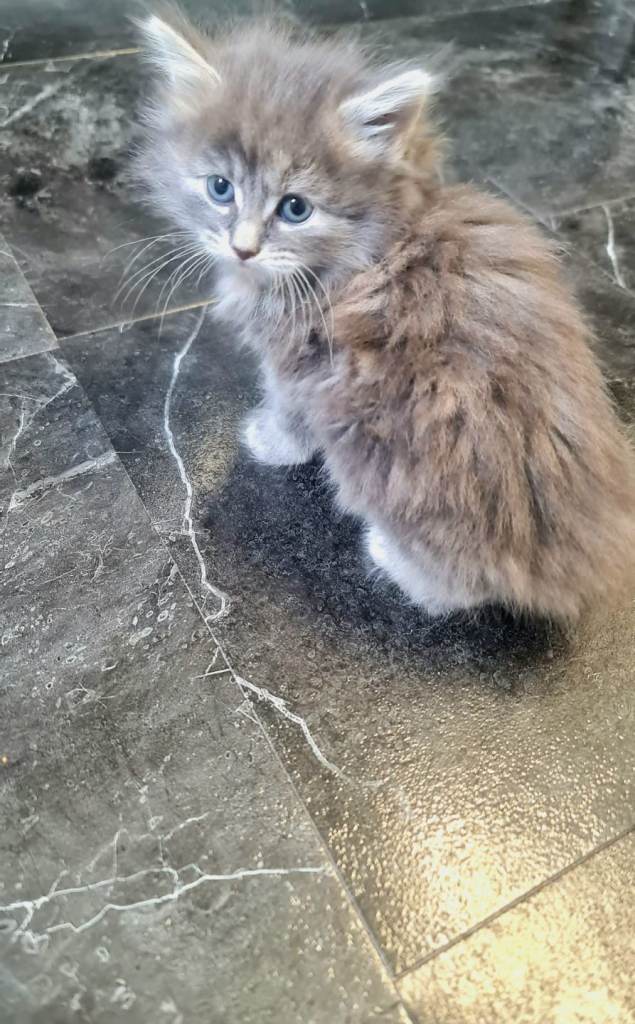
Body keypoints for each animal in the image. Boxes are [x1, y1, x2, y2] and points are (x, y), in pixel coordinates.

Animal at [134, 9, 635, 621]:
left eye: (295, 208)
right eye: (219, 188)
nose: (243, 248)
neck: (376, 246)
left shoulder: (303, 363)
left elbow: (288, 410)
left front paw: (269, 442)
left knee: (457, 587)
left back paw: (386, 553)